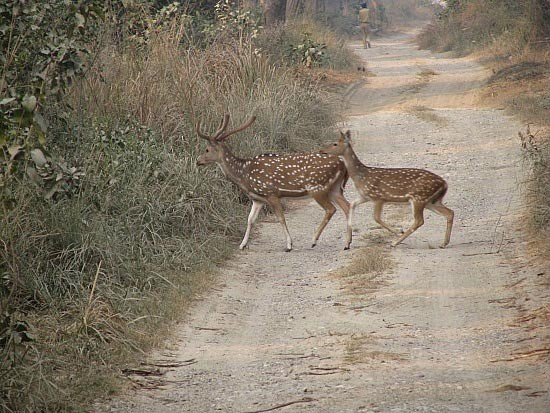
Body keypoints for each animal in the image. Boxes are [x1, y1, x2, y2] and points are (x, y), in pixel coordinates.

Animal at [196, 113, 352, 251]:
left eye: (207, 149)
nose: (198, 161)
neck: (244, 175)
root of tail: (343, 165)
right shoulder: (258, 198)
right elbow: (250, 219)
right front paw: (242, 245)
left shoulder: (271, 193)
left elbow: (281, 218)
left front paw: (289, 245)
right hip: (335, 188)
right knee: (347, 206)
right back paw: (347, 243)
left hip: (317, 188)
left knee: (331, 209)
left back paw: (314, 241)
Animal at [322, 131, 454, 248]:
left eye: (335, 143)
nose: (322, 151)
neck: (361, 177)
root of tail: (444, 184)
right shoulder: (364, 196)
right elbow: (352, 205)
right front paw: (347, 243)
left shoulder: (379, 197)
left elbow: (376, 217)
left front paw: (398, 231)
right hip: (431, 201)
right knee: (449, 213)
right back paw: (443, 243)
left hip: (419, 198)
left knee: (419, 220)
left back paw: (395, 242)